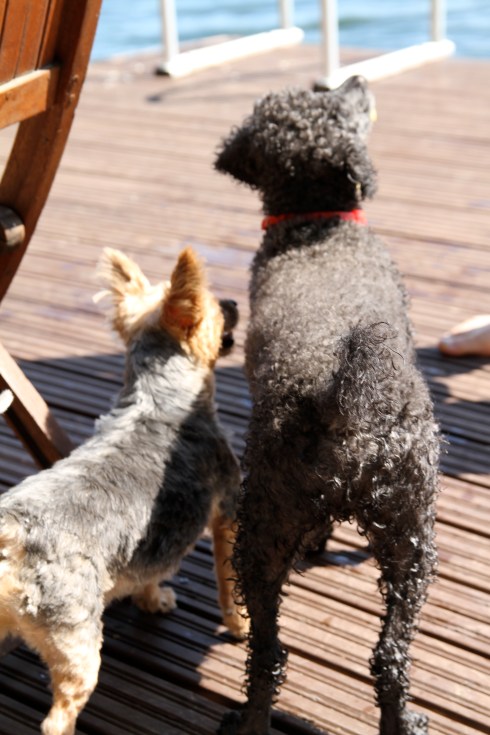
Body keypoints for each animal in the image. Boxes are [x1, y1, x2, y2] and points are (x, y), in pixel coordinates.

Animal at [0, 247, 248, 735]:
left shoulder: (149, 546)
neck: (158, 397)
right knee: (58, 717)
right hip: (76, 639)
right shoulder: (227, 510)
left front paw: (153, 601)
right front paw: (240, 627)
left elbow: (147, 573)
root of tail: (11, 534)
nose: (234, 301)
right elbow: (229, 583)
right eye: (214, 306)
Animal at [215, 76, 440, 735]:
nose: (358, 79)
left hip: (328, 532)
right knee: (306, 654)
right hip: (400, 535)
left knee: (341, 656)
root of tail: (345, 402)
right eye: (333, 99)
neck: (316, 225)